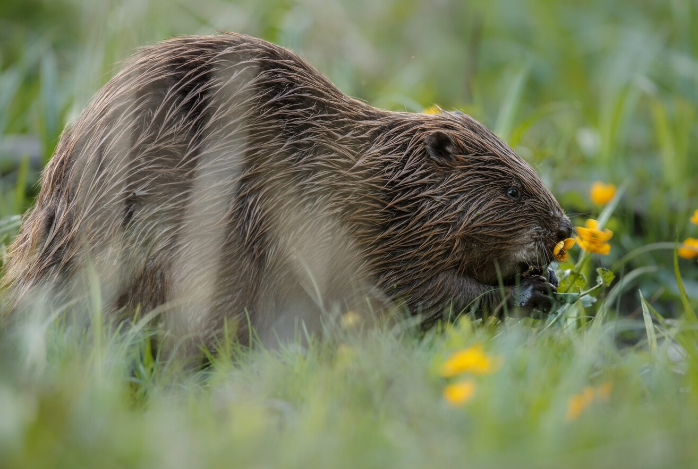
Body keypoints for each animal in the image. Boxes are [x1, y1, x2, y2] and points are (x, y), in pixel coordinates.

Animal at [4, 32, 572, 348]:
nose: (565, 229)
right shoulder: (364, 230)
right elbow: (422, 292)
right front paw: (531, 291)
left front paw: (547, 278)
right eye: (512, 191)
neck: (379, 179)